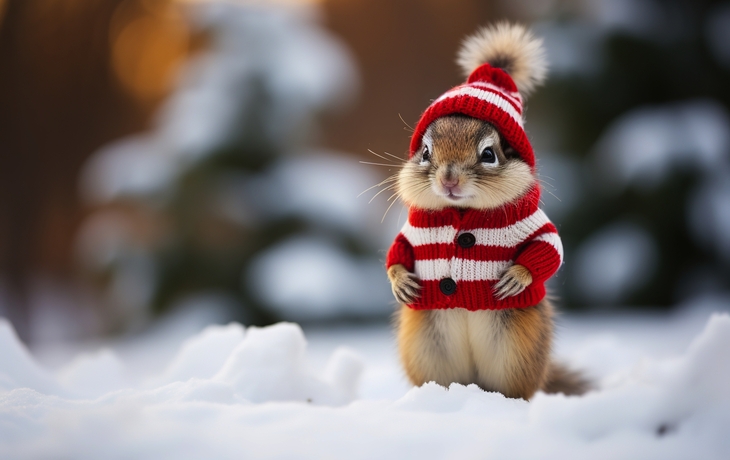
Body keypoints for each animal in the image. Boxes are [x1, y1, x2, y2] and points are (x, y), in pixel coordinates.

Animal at [384, 23, 588, 400]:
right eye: (425, 152)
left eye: (489, 154)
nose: (449, 179)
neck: (461, 209)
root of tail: (474, 383)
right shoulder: (412, 230)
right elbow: (397, 251)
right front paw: (401, 282)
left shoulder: (535, 223)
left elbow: (549, 249)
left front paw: (517, 277)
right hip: (427, 349)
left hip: (516, 351)